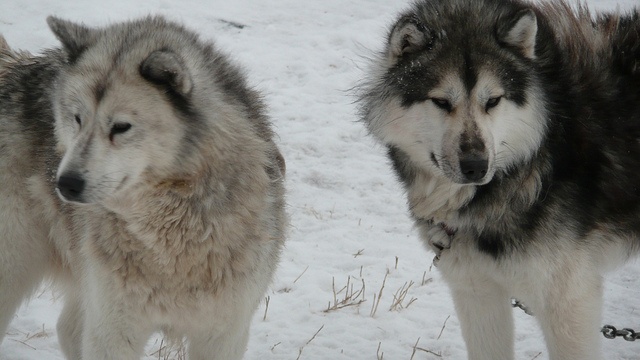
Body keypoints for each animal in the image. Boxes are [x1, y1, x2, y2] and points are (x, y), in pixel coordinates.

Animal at [0, 15, 286, 358]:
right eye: (77, 118)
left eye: (121, 127)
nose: (65, 183)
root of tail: (14, 66)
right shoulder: (113, 329)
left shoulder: (223, 334)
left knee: (67, 329)